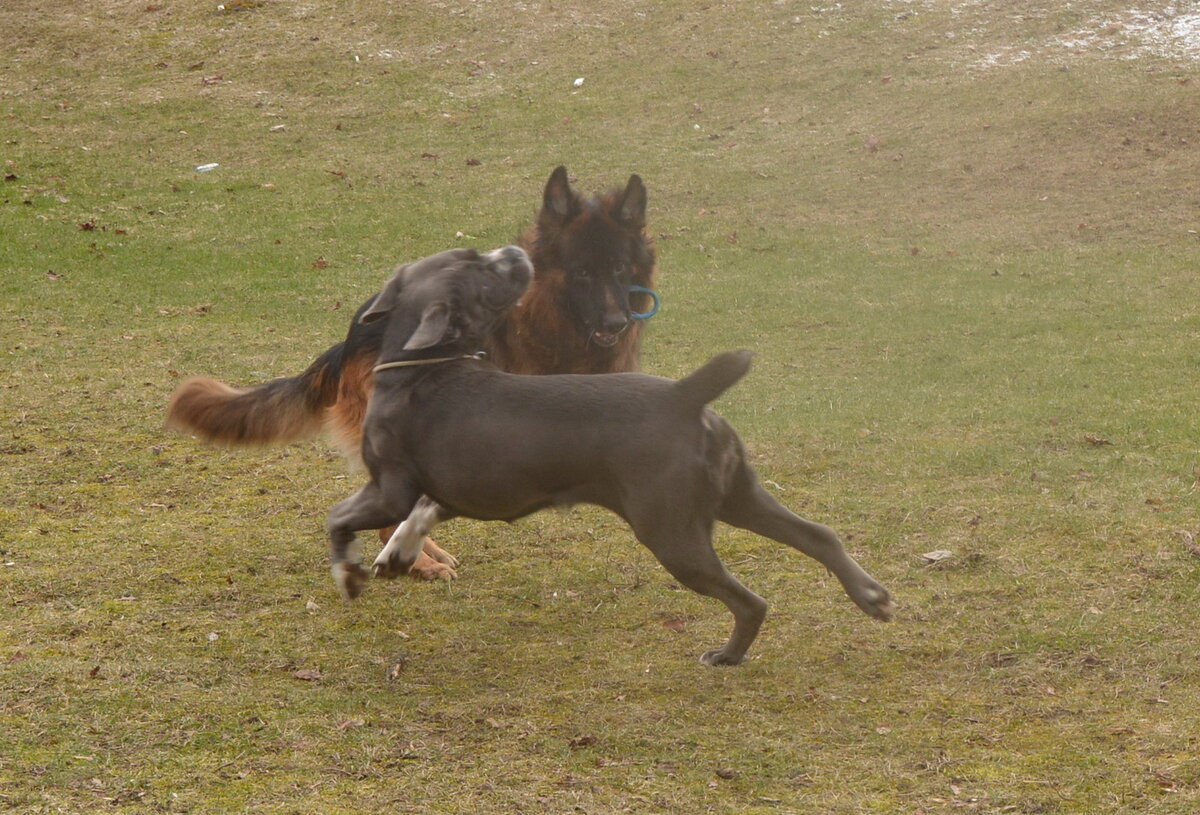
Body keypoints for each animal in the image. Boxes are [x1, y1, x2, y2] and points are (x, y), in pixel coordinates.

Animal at [166, 165, 657, 576]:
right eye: (581, 273)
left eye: (619, 269)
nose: (617, 322)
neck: (547, 315)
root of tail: (351, 338)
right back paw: (419, 563)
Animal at [328, 243, 892, 662]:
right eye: (481, 272)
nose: (515, 250)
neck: (420, 365)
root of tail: (682, 395)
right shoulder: (454, 492)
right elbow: (416, 519)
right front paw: (398, 555)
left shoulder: (391, 489)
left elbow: (339, 518)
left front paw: (351, 574)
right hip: (739, 497)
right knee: (819, 536)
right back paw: (871, 598)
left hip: (672, 533)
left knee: (750, 601)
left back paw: (728, 655)